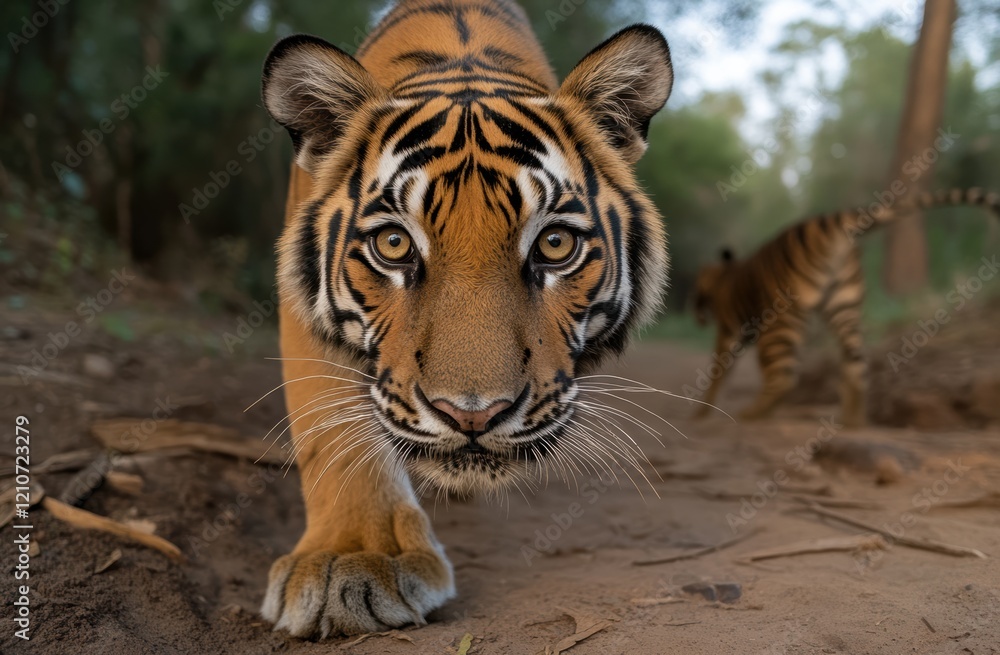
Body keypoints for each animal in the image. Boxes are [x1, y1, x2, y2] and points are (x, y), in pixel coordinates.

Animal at [691, 187, 1000, 427]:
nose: (696, 316)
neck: (721, 276)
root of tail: (828, 222)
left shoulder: (728, 331)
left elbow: (717, 371)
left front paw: (701, 412)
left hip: (781, 318)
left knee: (784, 376)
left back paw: (753, 414)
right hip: (844, 308)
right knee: (857, 366)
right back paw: (854, 421)